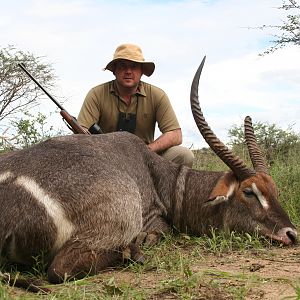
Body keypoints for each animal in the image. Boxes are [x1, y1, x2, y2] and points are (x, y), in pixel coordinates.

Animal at [0, 56, 296, 286]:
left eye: (274, 189)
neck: (164, 179)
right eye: (249, 191)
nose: (291, 234)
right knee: (60, 270)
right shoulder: (152, 217)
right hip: (122, 210)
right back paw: (131, 251)